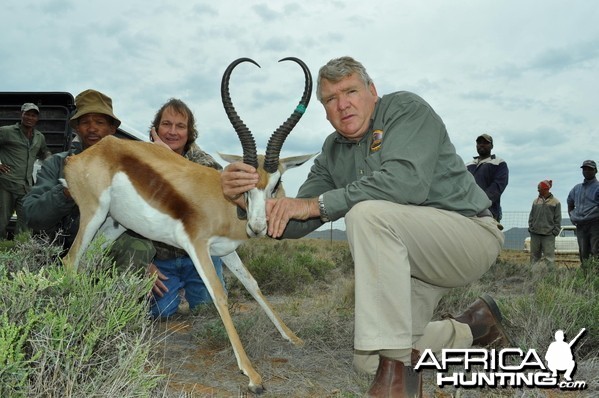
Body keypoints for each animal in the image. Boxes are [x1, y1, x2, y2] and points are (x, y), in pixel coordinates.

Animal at [62, 57, 318, 394]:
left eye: (276, 184)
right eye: (244, 183)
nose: (258, 226)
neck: (224, 202)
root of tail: (84, 155)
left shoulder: (226, 251)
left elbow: (252, 284)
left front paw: (293, 337)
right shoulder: (197, 246)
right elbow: (219, 295)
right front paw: (253, 376)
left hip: (112, 226)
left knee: (87, 263)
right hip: (93, 215)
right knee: (70, 261)